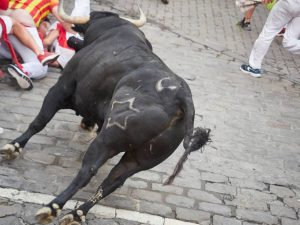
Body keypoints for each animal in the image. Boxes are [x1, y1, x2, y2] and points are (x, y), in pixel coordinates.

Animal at [0, 10, 211, 225]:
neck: (115, 31)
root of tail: (181, 96)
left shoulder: (61, 88)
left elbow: (39, 122)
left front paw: (13, 147)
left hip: (109, 139)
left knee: (88, 171)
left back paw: (52, 207)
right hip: (140, 159)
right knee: (113, 181)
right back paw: (77, 213)